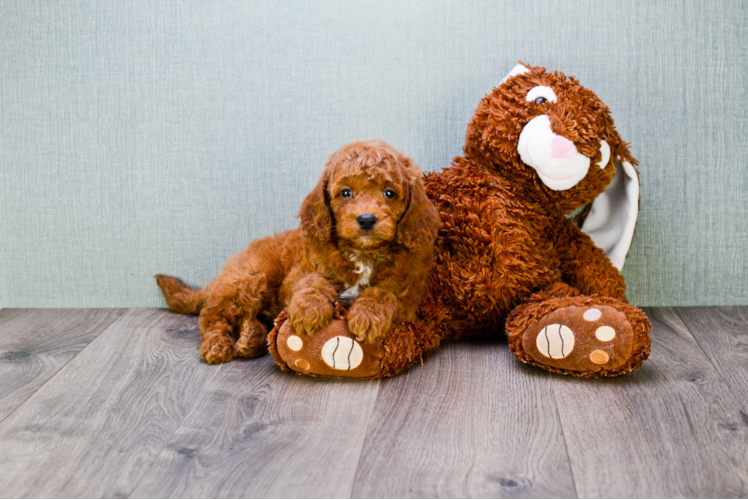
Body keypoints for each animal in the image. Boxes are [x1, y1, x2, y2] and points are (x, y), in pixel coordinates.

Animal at [156, 140, 442, 364]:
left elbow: (383, 291)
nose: (366, 219)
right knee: (212, 315)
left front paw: (368, 316)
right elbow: (312, 281)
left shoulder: (410, 291)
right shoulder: (300, 273)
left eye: (389, 193)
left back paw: (251, 337)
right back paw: (218, 345)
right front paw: (308, 310)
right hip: (251, 279)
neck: (363, 253)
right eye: (346, 193)